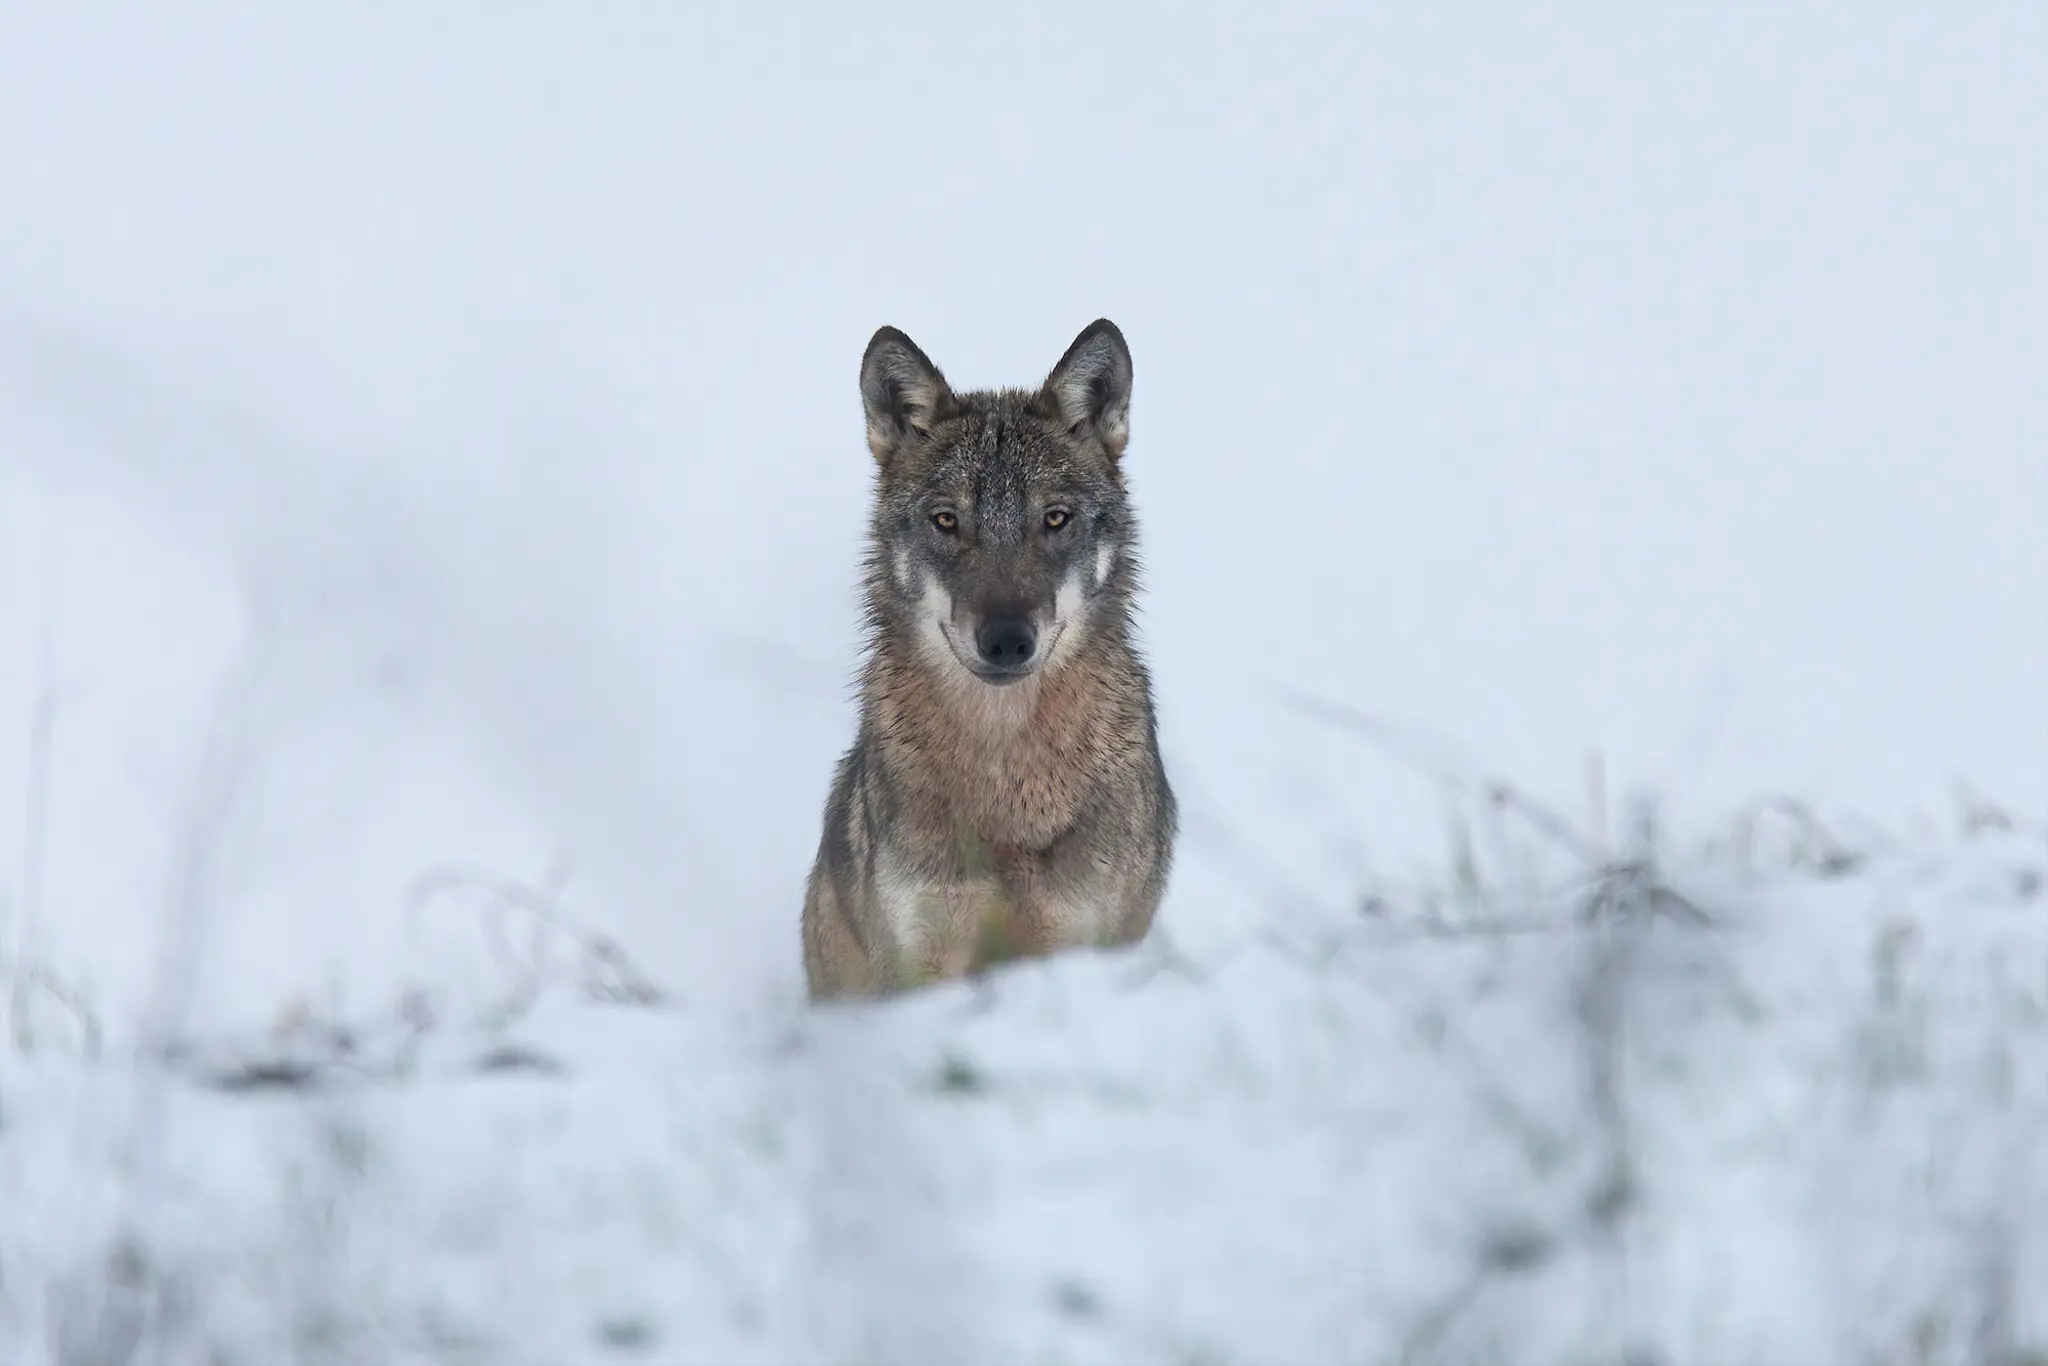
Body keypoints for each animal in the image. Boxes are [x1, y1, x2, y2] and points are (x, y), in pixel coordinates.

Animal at [800, 318, 1178, 1002]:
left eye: (1053, 519)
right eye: (947, 521)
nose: (1005, 640)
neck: (1008, 776)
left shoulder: (1074, 942)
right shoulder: (924, 957)